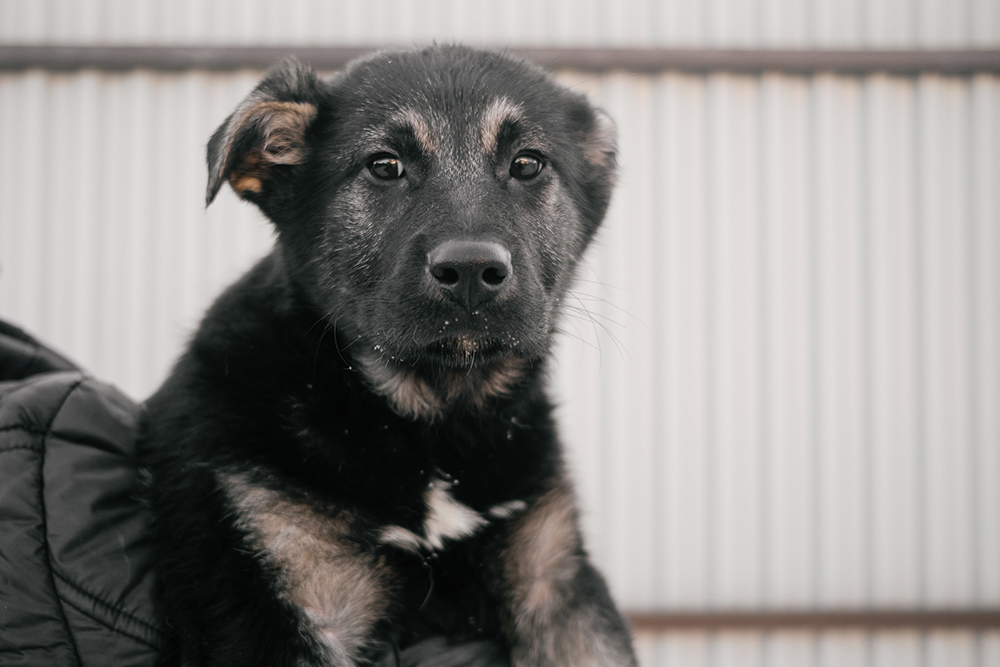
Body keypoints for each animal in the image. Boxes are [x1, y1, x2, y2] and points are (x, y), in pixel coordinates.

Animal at [143, 47, 632, 667]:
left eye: (527, 164)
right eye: (383, 166)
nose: (471, 270)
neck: (431, 422)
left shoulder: (556, 583)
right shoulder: (278, 580)